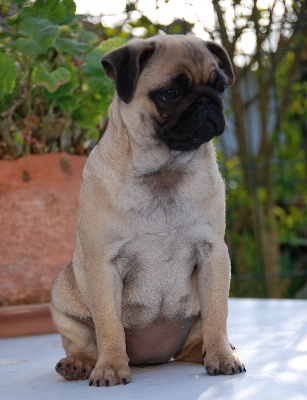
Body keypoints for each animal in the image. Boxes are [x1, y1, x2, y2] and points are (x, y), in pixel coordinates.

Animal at [51, 33, 248, 388]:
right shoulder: (103, 264)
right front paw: (110, 368)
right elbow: (109, 325)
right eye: (169, 93)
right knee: (83, 340)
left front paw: (222, 357)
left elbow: (217, 315)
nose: (207, 101)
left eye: (220, 88)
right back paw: (79, 363)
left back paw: (206, 351)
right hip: (63, 296)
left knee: (200, 334)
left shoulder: (213, 255)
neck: (164, 170)